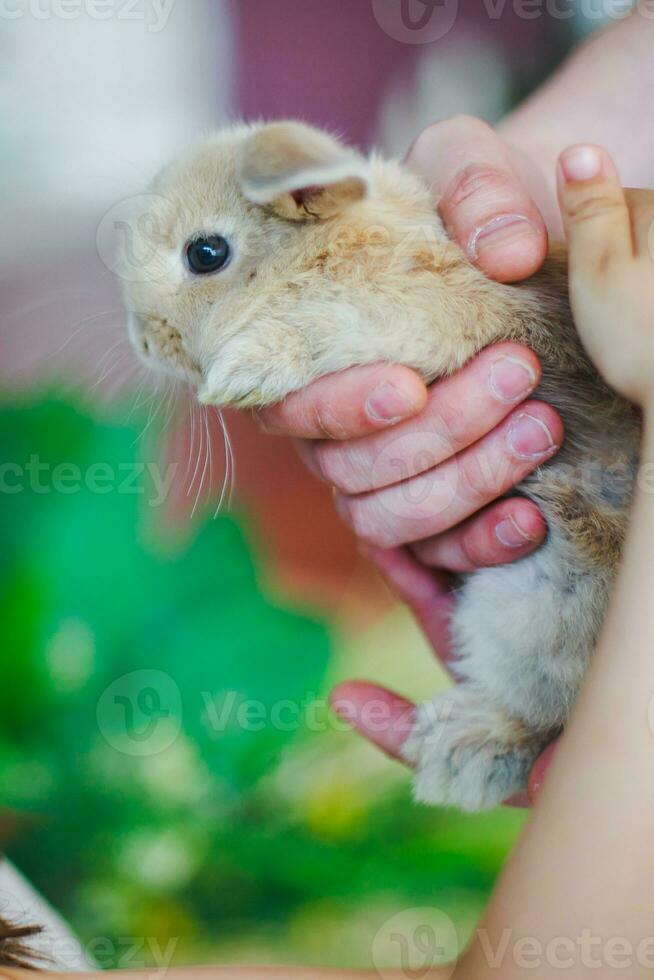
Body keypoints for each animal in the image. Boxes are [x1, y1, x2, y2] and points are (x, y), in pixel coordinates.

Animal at [123, 122, 640, 812]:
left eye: (205, 253)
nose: (144, 340)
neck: (330, 249)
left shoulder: (407, 317)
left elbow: (319, 327)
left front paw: (243, 373)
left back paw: (459, 754)